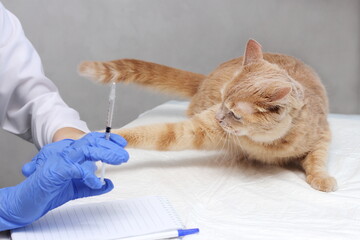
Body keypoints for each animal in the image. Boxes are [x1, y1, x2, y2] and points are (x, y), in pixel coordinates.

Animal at [79, 40, 338, 192]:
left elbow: (317, 159)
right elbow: (152, 133)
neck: (267, 146)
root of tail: (206, 78)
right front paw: (97, 140)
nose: (220, 118)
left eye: (235, 114)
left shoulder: (322, 135)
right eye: (222, 99)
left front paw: (322, 178)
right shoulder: (198, 129)